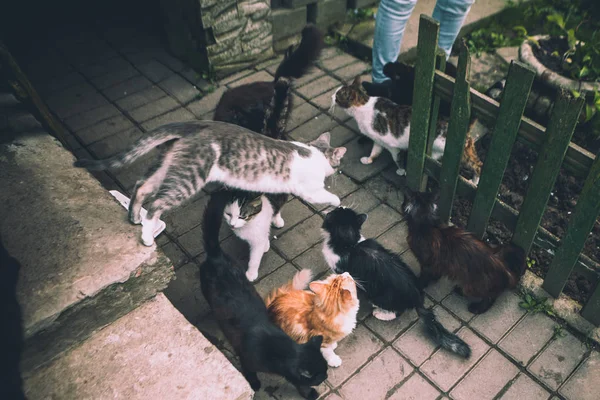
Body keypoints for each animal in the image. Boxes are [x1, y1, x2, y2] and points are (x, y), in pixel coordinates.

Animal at [74, 120, 346, 247]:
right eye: (337, 165)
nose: (336, 171)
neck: (315, 153)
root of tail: (196, 125)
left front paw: (277, 220)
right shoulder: (310, 190)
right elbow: (331, 197)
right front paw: (338, 204)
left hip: (166, 168)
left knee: (141, 186)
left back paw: (134, 218)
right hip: (188, 178)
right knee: (156, 204)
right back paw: (147, 236)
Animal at [322, 208, 472, 358]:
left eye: (336, 212)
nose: (335, 208)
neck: (350, 244)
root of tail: (417, 298)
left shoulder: (343, 271)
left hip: (378, 296)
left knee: (397, 312)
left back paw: (380, 313)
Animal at [330, 75, 480, 183]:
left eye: (337, 96)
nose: (331, 96)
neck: (363, 105)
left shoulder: (392, 145)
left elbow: (397, 159)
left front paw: (402, 171)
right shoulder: (378, 140)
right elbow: (375, 151)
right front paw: (368, 160)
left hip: (454, 151)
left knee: (478, 165)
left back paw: (474, 181)